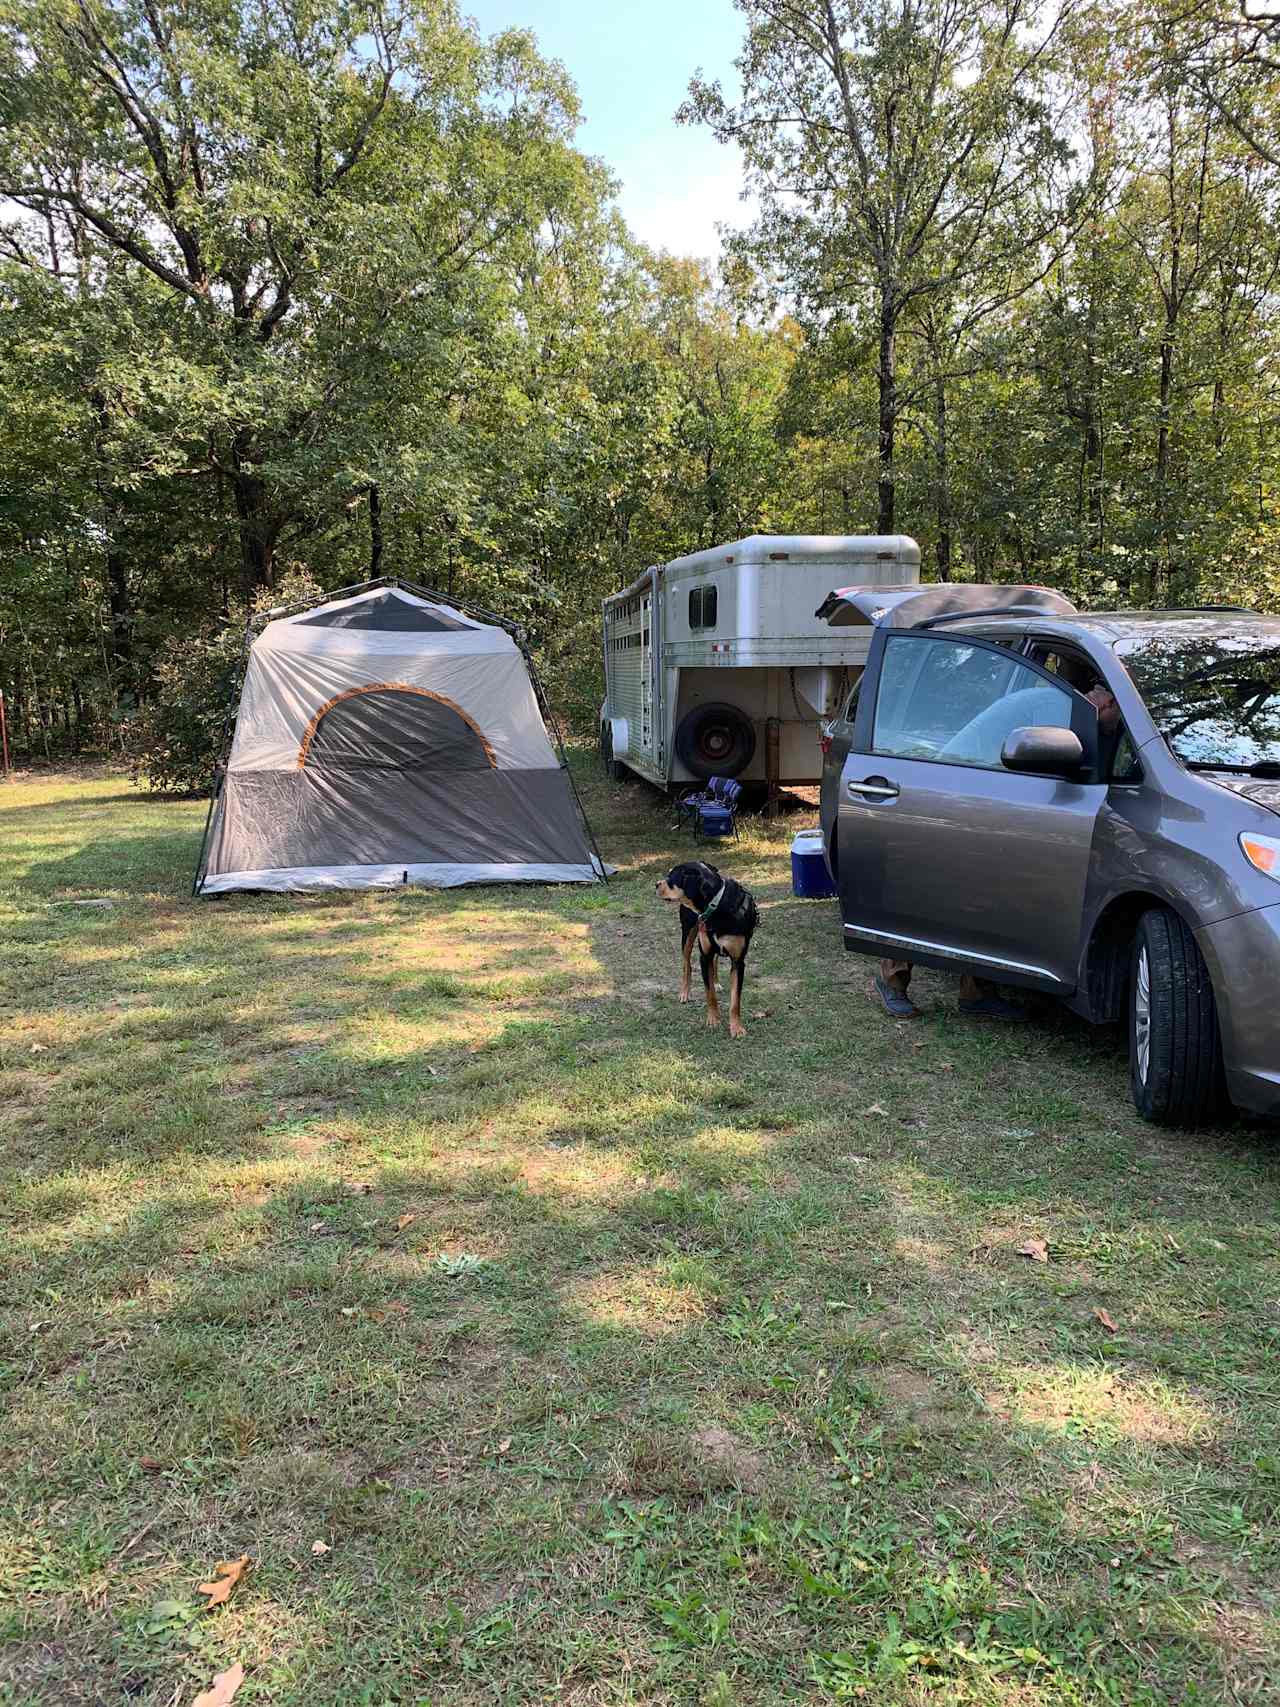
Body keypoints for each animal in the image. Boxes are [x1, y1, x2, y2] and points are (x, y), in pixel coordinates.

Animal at [662, 860, 761, 1031]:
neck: (717, 904)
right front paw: (713, 1020)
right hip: (687, 933)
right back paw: (684, 993)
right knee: (686, 964)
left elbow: (735, 1000)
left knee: (714, 961)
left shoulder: (738, 961)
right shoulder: (704, 956)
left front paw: (736, 1028)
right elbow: (710, 994)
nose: (656, 885)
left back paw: (716, 982)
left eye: (671, 878)